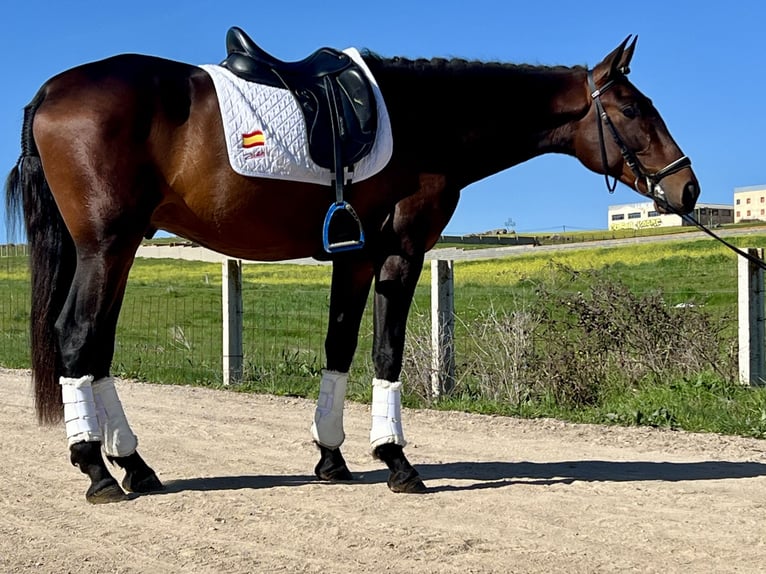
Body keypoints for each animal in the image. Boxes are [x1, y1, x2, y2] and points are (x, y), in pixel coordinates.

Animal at [5, 31, 699, 503]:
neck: (426, 121)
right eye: (632, 110)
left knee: (97, 348)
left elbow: (338, 348)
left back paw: (134, 465)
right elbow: (387, 354)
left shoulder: (356, 259)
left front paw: (331, 458)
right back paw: (98, 470)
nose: (687, 187)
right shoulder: (400, 253)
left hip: (118, 250)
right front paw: (397, 461)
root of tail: (51, 91)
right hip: (106, 246)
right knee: (77, 337)